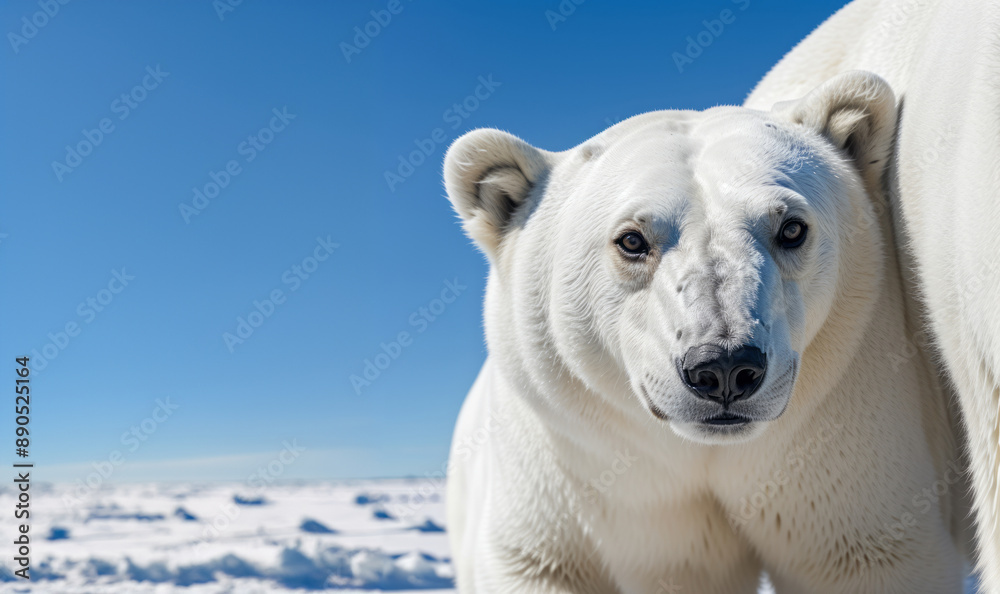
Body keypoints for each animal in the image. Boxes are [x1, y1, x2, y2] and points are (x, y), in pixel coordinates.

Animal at [443, 70, 970, 593]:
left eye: (792, 228)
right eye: (631, 239)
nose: (724, 368)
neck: (698, 454)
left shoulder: (842, 439)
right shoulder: (563, 477)